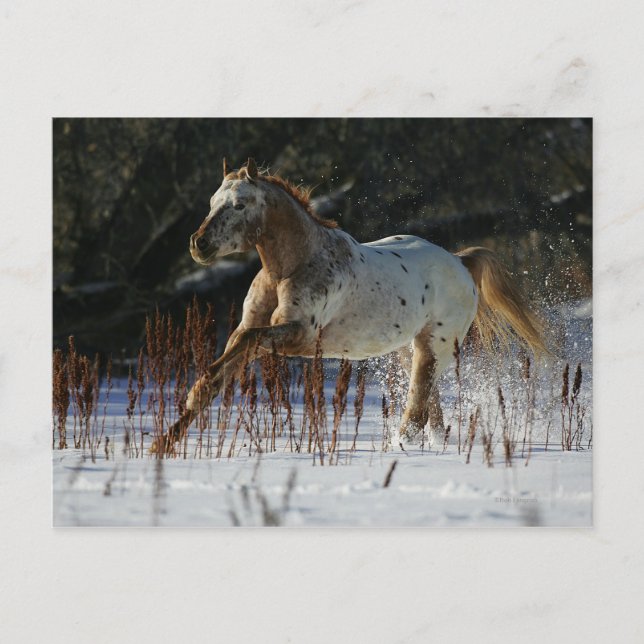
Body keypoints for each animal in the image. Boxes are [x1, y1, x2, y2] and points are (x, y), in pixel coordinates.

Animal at [157, 158, 546, 453]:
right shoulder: (252, 327)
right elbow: (228, 361)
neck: (292, 266)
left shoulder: (298, 336)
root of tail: (460, 262)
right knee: (430, 411)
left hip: (434, 348)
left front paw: (187, 402)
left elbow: (245, 342)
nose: (199, 244)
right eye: (212, 203)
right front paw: (163, 443)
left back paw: (397, 448)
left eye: (239, 205)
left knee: (418, 411)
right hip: (407, 351)